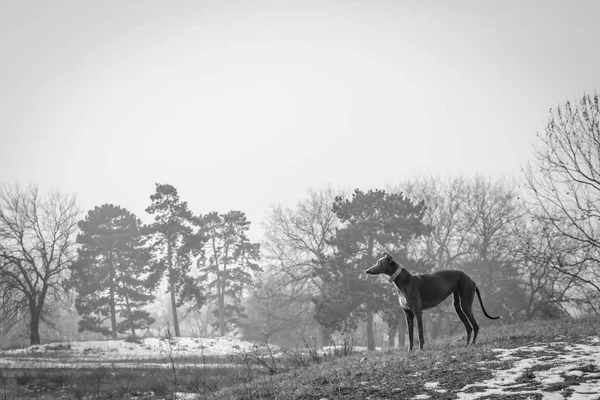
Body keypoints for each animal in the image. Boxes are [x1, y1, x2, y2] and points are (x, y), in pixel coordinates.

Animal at [366, 253, 496, 350]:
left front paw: (421, 350)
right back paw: (467, 344)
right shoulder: (408, 314)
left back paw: (473, 344)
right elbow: (411, 336)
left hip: (466, 305)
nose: (367, 271)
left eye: (379, 262)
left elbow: (420, 334)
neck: (404, 281)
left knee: (475, 326)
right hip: (457, 307)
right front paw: (410, 352)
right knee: (469, 328)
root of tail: (471, 279)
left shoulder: (418, 312)